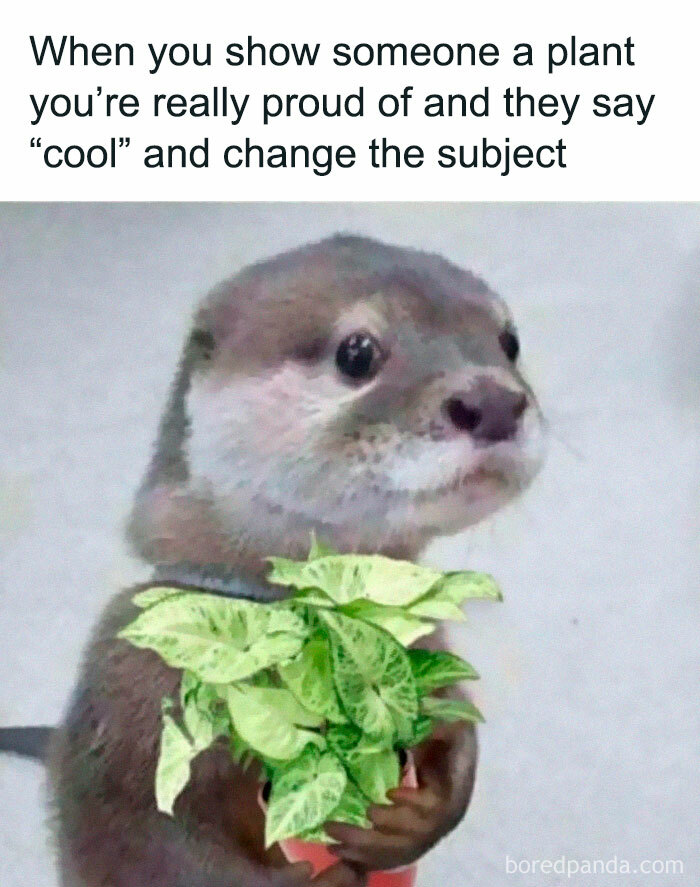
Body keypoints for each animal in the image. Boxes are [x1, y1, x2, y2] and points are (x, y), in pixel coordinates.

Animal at [1, 235, 544, 886]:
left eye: (510, 341)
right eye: (357, 351)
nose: (494, 401)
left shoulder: (426, 654)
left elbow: (459, 731)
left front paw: (413, 821)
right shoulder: (132, 707)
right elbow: (165, 848)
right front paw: (323, 871)